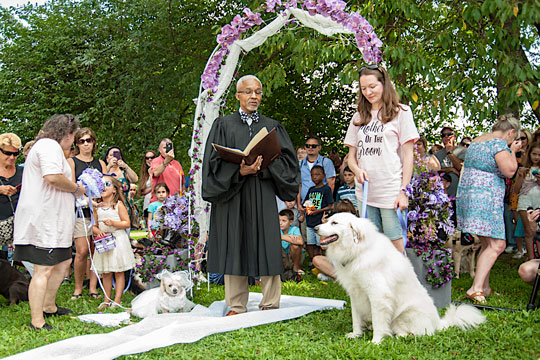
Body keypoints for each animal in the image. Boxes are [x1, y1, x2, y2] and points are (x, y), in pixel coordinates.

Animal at [314, 212, 488, 344]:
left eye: (334, 223)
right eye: (327, 220)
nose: (315, 228)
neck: (358, 251)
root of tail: (438, 322)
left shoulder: (378, 296)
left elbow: (378, 321)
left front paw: (375, 341)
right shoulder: (355, 294)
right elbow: (356, 318)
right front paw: (356, 334)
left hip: (405, 315)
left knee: (418, 333)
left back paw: (399, 336)